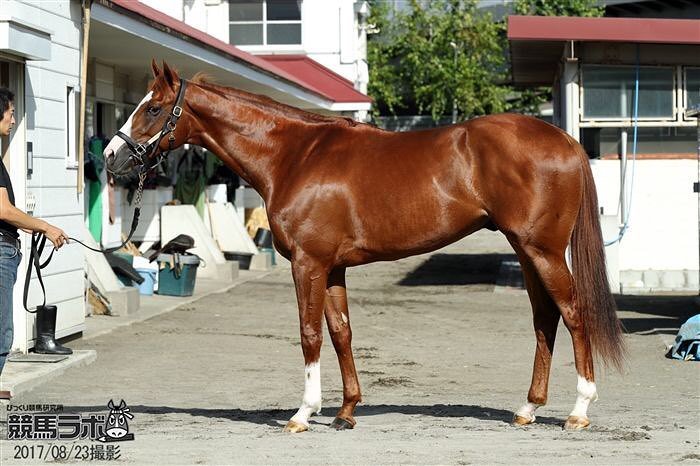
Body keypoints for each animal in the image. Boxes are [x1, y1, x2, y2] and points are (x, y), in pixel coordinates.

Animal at [104, 60, 624, 433]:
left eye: (153, 109)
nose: (111, 157)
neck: (295, 156)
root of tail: (565, 140)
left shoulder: (309, 265)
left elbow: (310, 334)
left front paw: (303, 414)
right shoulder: (333, 268)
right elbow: (341, 333)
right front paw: (345, 411)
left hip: (543, 251)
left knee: (573, 314)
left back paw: (578, 411)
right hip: (526, 250)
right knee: (544, 320)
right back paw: (527, 409)